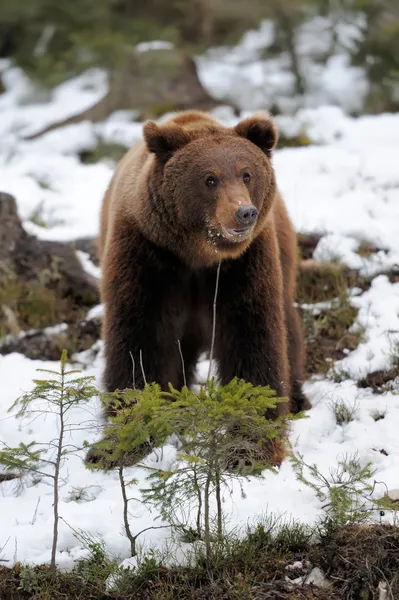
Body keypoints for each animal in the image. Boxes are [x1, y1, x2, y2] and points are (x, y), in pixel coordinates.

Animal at [98, 109, 310, 418]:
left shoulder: (242, 264)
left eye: (247, 174)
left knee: (287, 322)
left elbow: (252, 332)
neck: (198, 252)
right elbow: (139, 335)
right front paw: (132, 408)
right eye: (210, 179)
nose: (244, 212)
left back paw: (297, 397)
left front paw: (260, 410)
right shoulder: (148, 254)